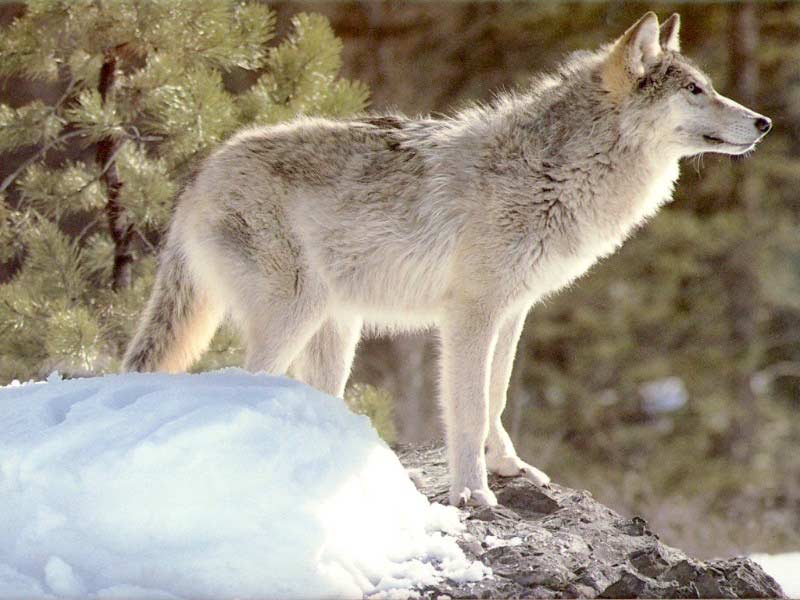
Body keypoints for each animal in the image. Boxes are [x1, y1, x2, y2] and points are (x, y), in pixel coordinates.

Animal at [123, 12, 771, 506]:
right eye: (695, 91)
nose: (764, 121)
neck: (555, 172)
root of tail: (200, 175)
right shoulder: (469, 315)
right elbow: (468, 408)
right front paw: (473, 493)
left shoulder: (513, 312)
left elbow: (498, 397)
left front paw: (509, 468)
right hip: (295, 315)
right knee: (244, 383)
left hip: (337, 331)